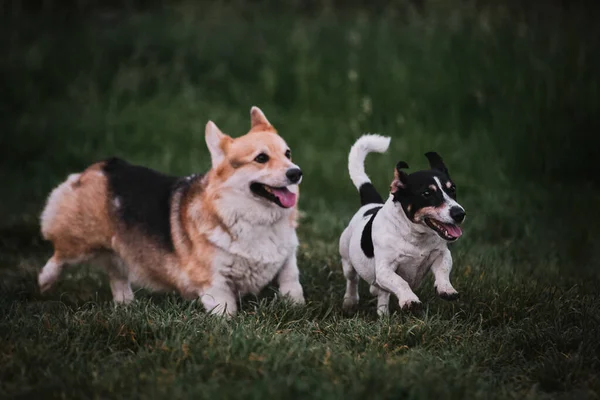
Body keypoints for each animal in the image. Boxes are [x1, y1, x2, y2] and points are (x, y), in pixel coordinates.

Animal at [38, 106, 304, 316]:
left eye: (288, 153)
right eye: (261, 158)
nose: (296, 172)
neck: (258, 219)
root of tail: (102, 166)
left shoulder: (287, 257)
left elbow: (292, 279)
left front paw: (296, 306)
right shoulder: (214, 280)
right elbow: (225, 308)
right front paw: (229, 325)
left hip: (119, 249)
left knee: (117, 274)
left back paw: (126, 305)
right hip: (80, 241)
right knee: (60, 253)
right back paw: (44, 280)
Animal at [340, 134, 466, 316]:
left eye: (453, 189)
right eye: (426, 193)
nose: (459, 214)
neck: (415, 236)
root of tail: (370, 204)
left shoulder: (442, 254)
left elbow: (443, 270)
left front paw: (446, 289)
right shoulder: (384, 270)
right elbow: (400, 282)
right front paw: (410, 300)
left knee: (381, 294)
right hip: (347, 260)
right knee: (352, 280)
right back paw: (350, 301)